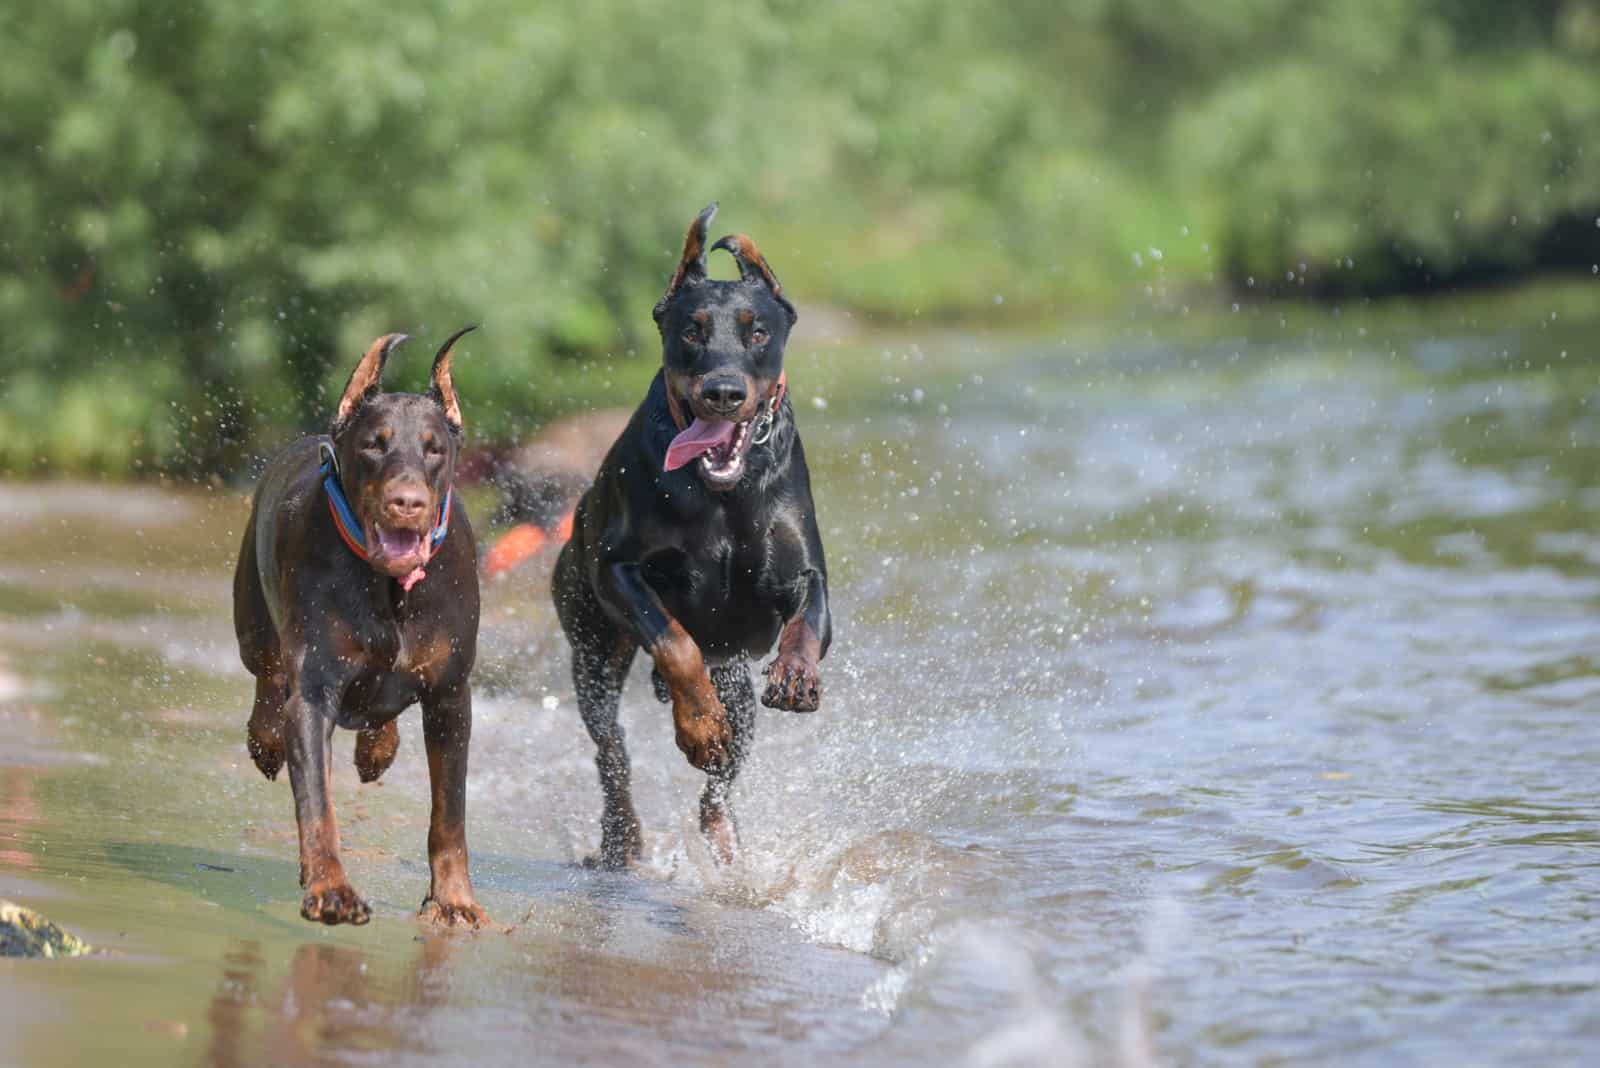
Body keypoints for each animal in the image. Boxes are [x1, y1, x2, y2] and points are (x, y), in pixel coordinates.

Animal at [228, 327, 483, 927]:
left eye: (435, 448)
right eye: (374, 444)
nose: (406, 503)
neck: (391, 590)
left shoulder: (451, 697)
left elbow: (450, 811)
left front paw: (454, 898)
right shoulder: (315, 690)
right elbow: (317, 804)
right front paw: (331, 890)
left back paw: (377, 747)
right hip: (252, 619)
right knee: (268, 678)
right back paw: (267, 739)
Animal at [553, 206, 832, 869]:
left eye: (758, 333)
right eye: (692, 330)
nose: (723, 393)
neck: (722, 493)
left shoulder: (802, 569)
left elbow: (809, 618)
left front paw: (797, 674)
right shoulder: (616, 571)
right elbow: (675, 644)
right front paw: (698, 725)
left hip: (738, 689)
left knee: (721, 783)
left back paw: (726, 840)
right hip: (590, 648)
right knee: (611, 751)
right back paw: (622, 839)